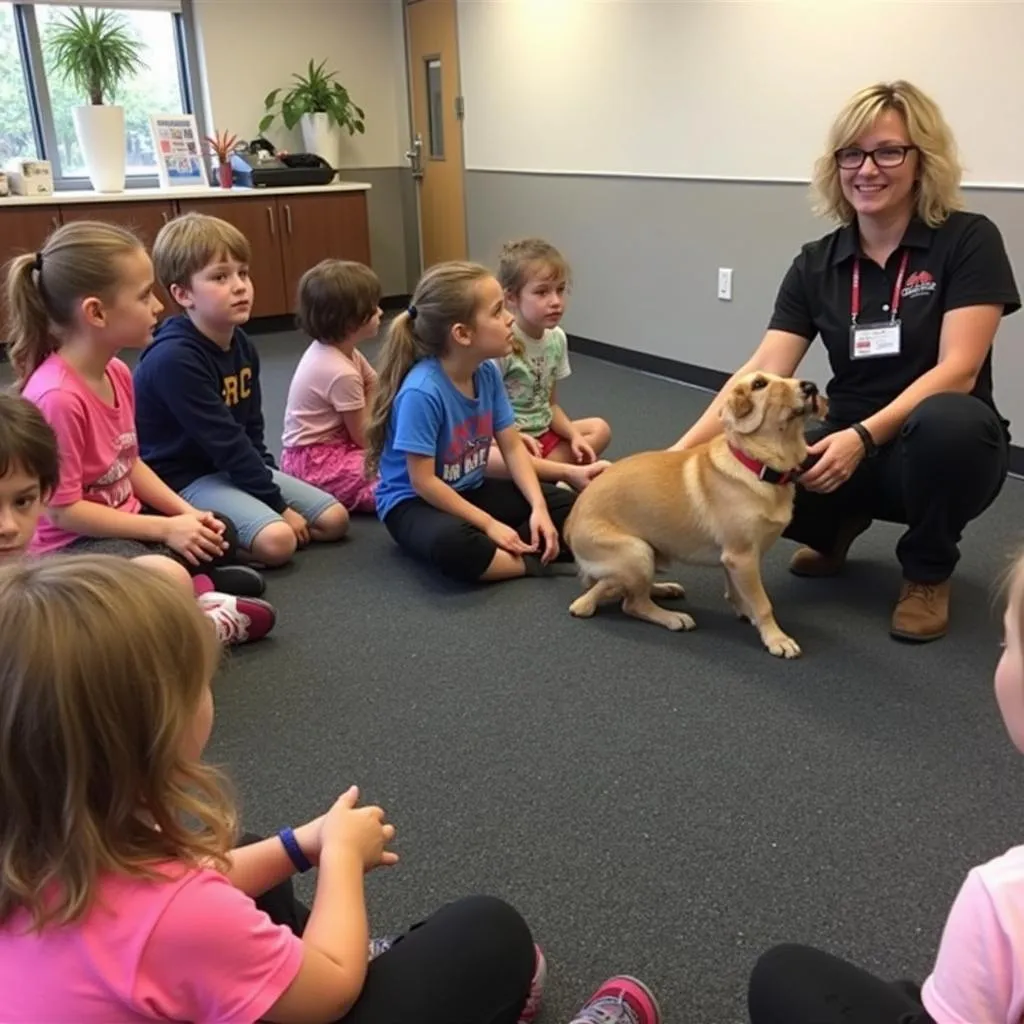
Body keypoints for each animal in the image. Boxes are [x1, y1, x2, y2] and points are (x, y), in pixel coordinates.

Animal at [561, 372, 823, 659]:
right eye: (759, 384)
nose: (811, 387)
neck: (758, 466)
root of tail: (570, 522)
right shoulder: (741, 556)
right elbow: (763, 603)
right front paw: (776, 638)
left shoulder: (734, 559)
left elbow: (738, 593)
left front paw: (748, 613)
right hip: (637, 552)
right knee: (631, 603)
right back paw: (672, 617)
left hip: (649, 557)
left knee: (619, 588)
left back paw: (663, 589)